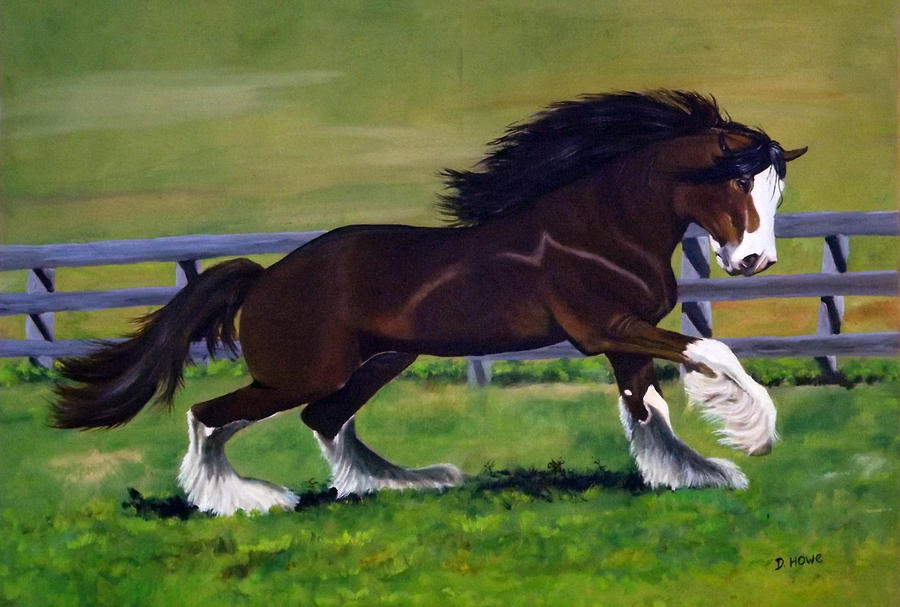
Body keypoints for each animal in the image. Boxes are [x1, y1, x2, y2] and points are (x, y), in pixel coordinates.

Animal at [51, 90, 807, 516]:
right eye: (736, 182)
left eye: (776, 190)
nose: (754, 263)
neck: (601, 226)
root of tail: (266, 277)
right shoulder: (607, 328)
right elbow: (709, 350)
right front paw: (752, 436)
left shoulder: (626, 336)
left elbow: (646, 409)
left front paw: (694, 475)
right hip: (304, 371)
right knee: (211, 416)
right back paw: (249, 502)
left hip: (384, 359)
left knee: (325, 419)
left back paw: (404, 484)